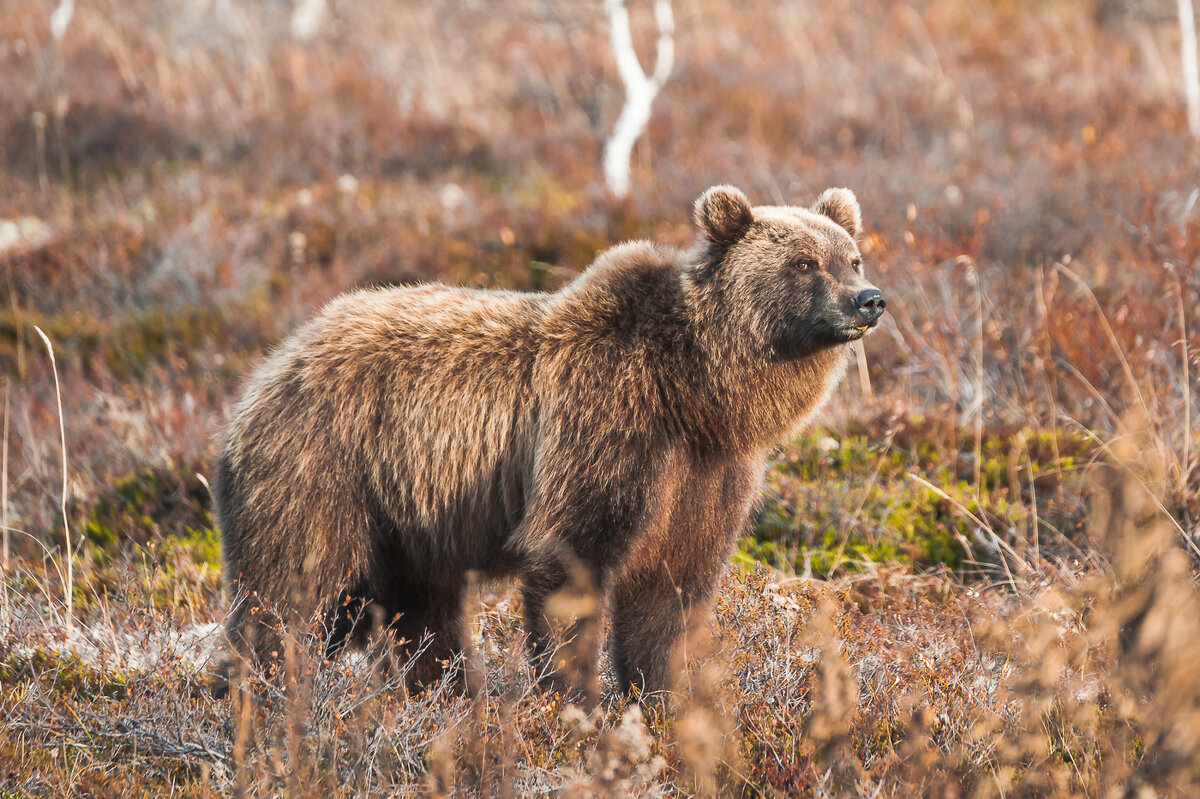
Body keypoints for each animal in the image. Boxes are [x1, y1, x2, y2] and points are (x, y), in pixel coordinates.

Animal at [216, 184, 888, 695]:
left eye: (851, 257)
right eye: (803, 263)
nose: (869, 300)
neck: (693, 394)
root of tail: (270, 367)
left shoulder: (706, 479)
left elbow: (670, 598)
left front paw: (665, 701)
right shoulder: (606, 425)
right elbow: (571, 562)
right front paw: (573, 703)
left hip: (410, 520)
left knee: (424, 616)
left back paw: (442, 699)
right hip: (322, 470)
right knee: (288, 596)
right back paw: (262, 698)